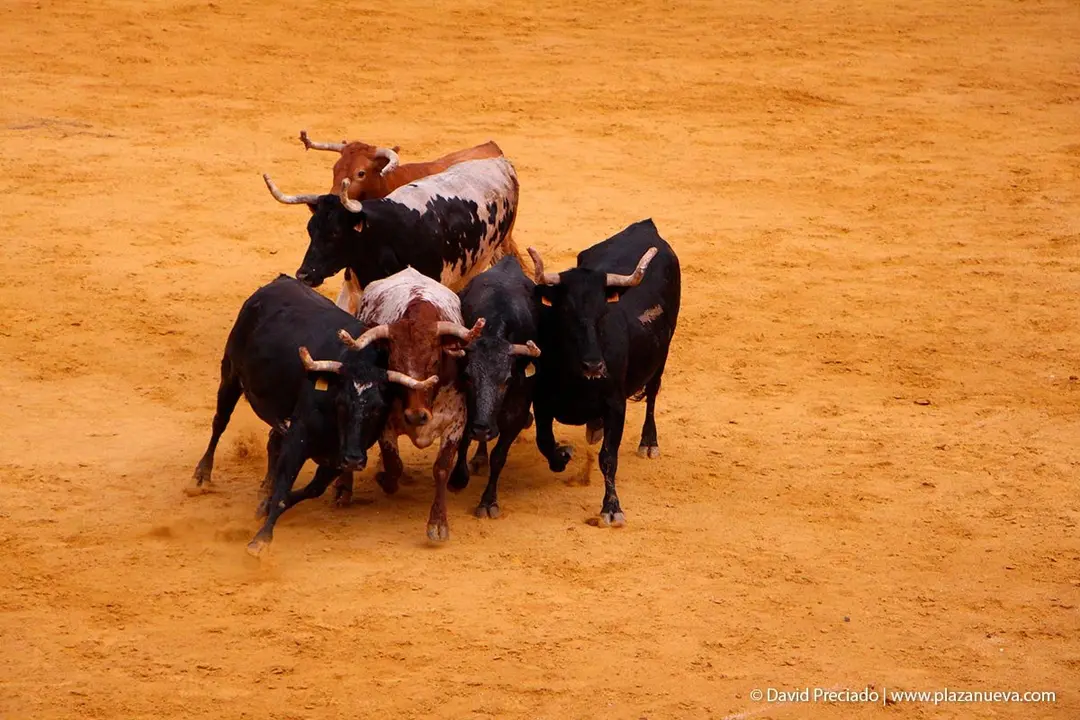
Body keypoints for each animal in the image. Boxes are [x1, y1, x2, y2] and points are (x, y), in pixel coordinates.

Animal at [190, 274, 436, 555]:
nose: (354, 459)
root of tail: (279, 281)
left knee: (272, 442)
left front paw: (264, 506)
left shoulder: (335, 458)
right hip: (230, 372)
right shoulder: (299, 439)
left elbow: (311, 489)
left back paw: (263, 488)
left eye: (378, 408)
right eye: (341, 403)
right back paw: (202, 476)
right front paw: (260, 540)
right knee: (220, 421)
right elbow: (284, 488)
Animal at [335, 267, 484, 542]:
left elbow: (442, 468)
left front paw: (438, 523)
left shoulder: (455, 423)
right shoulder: (385, 425)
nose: (416, 416)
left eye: (435, 361)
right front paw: (384, 477)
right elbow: (394, 464)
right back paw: (344, 487)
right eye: (394, 364)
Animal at [446, 256, 542, 518]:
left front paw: (488, 502)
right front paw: (458, 478)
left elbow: (499, 456)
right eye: (468, 376)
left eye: (507, 380)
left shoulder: (515, 414)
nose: (482, 429)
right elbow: (463, 439)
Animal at [526, 219, 681, 527]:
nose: (594, 366)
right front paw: (562, 456)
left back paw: (649, 442)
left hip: (663, 353)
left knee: (652, 394)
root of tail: (645, 226)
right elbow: (544, 441)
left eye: (603, 312)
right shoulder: (542, 402)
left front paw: (611, 507)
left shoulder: (615, 405)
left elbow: (608, 457)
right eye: (566, 311)